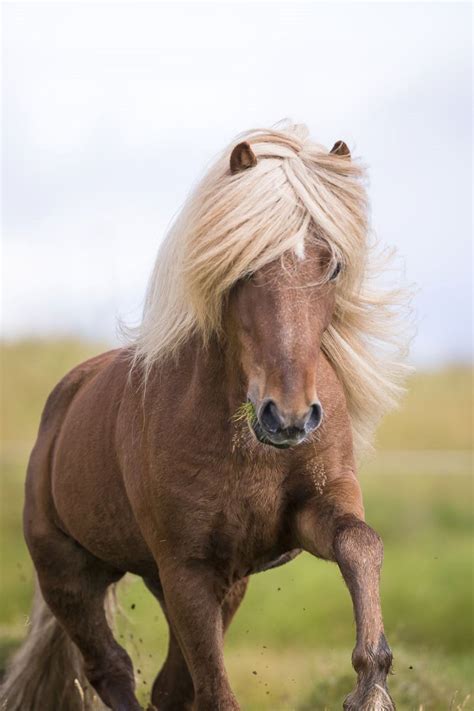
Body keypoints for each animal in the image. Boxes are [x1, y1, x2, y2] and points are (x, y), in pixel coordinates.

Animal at [0, 125, 410, 708]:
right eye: (244, 266)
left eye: (332, 265)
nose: (288, 416)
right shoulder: (188, 570)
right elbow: (215, 692)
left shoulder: (307, 517)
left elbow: (361, 544)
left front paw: (370, 686)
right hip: (70, 571)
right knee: (111, 669)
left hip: (203, 583)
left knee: (166, 687)